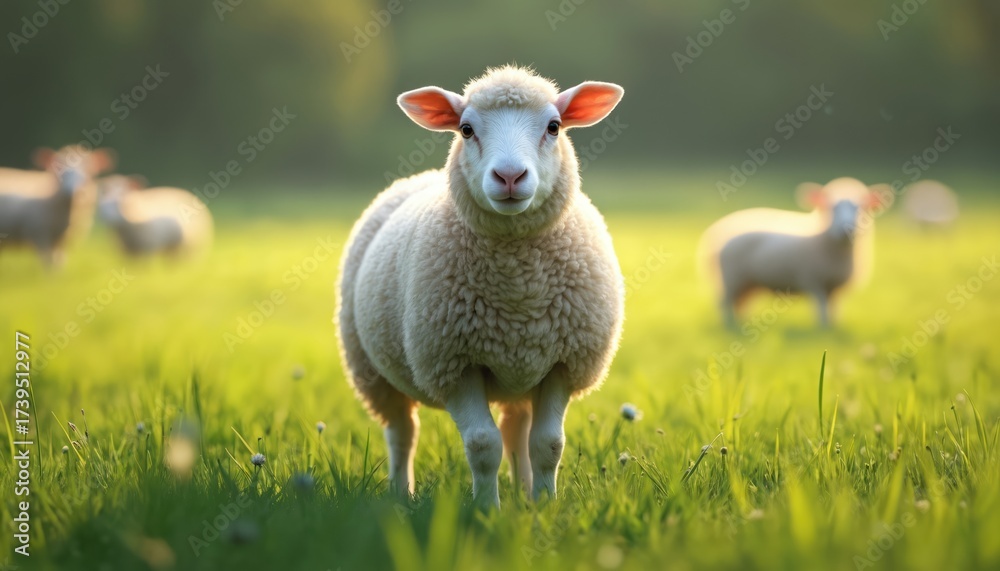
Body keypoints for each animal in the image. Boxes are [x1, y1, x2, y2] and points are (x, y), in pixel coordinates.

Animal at [335, 66, 625, 507]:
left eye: (554, 127)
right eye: (466, 129)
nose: (509, 176)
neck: (519, 289)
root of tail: (419, 176)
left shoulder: (563, 362)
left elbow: (547, 444)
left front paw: (545, 507)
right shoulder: (453, 363)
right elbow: (483, 444)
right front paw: (488, 509)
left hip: (522, 371)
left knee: (517, 430)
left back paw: (524, 494)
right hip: (371, 372)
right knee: (402, 432)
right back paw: (401, 493)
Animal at [703, 177, 890, 328]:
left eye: (862, 207)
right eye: (830, 208)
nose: (847, 229)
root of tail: (717, 233)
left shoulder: (834, 288)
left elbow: (833, 309)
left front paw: (833, 327)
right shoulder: (814, 281)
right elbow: (822, 309)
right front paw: (823, 329)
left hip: (747, 284)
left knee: (738, 304)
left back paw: (739, 322)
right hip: (732, 279)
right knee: (724, 303)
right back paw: (730, 325)